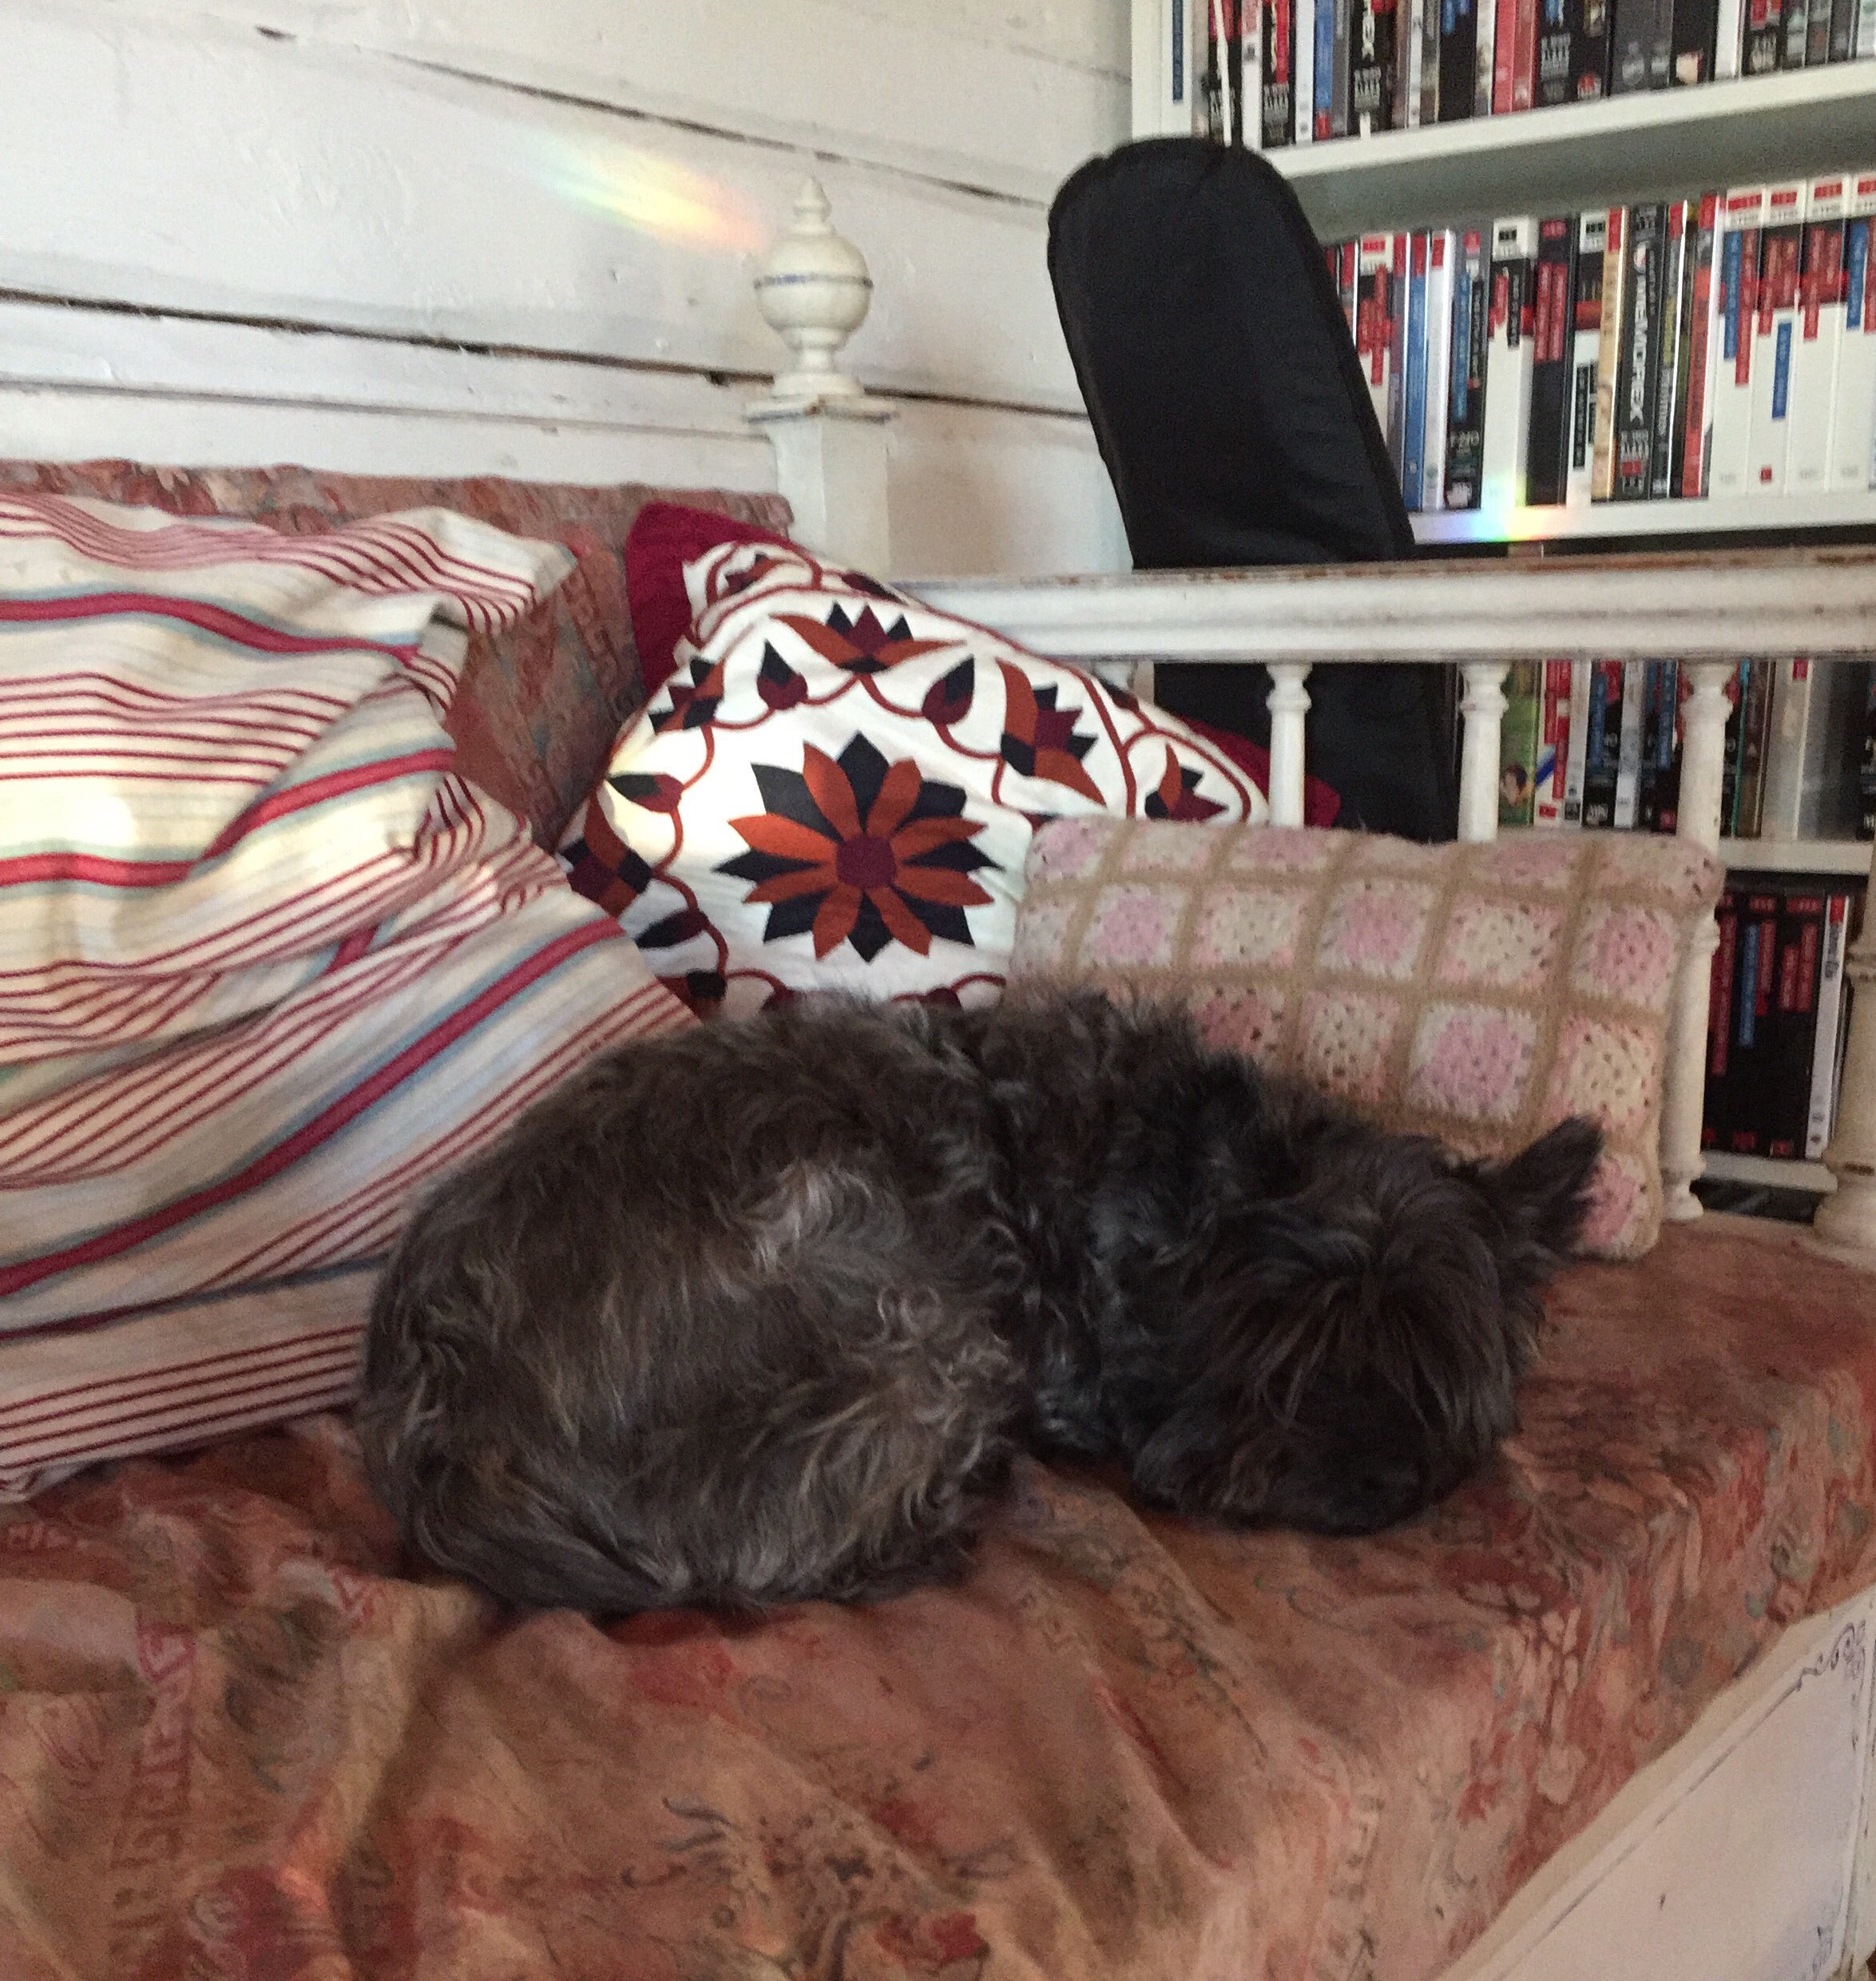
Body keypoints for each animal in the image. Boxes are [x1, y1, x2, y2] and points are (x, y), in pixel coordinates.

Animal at [358, 987, 1602, 1614]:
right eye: (1283, 1348)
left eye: (1435, 1358)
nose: (1381, 1480)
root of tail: (445, 1426)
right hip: (917, 1323)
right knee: (770, 1556)